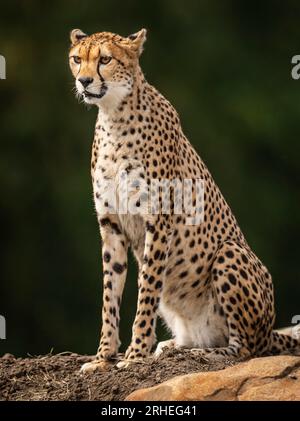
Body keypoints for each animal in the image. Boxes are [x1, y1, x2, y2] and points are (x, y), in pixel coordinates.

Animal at [68, 27, 300, 370]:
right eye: (76, 59)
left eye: (105, 60)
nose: (84, 81)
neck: (114, 115)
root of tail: (269, 329)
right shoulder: (111, 225)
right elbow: (110, 296)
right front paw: (102, 357)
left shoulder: (158, 221)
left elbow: (147, 291)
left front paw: (135, 355)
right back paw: (174, 347)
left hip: (229, 253)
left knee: (245, 349)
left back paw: (199, 353)